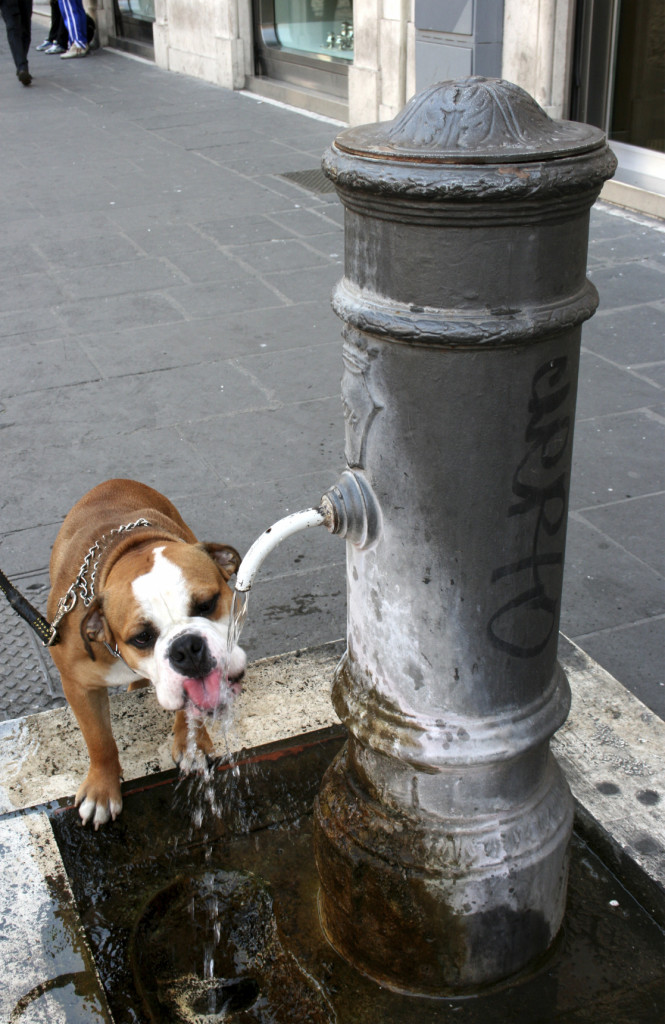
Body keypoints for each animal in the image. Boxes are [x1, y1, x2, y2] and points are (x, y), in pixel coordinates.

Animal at [46, 477, 245, 823]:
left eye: (207, 604)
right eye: (141, 638)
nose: (186, 648)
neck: (126, 548)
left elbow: (189, 712)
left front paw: (193, 745)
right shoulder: (77, 684)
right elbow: (98, 738)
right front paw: (101, 788)